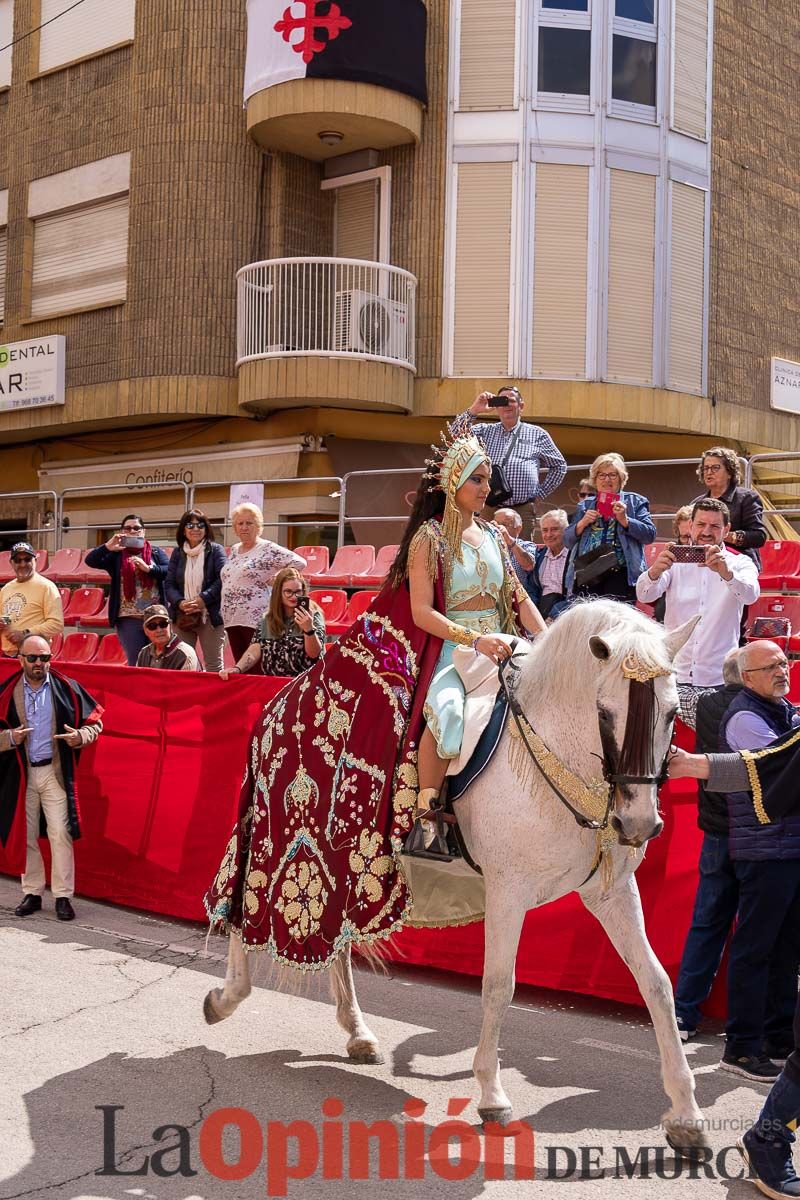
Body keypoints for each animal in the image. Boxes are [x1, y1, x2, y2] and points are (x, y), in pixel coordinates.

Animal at [205, 604, 705, 1156]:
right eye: (604, 713)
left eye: (671, 713)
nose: (637, 824)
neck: (555, 754)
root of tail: (278, 700)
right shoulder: (509, 890)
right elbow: (499, 986)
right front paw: (491, 1095)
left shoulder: (610, 893)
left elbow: (656, 985)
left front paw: (685, 1114)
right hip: (278, 836)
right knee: (242, 901)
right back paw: (226, 998)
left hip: (347, 868)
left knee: (337, 942)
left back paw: (357, 1032)